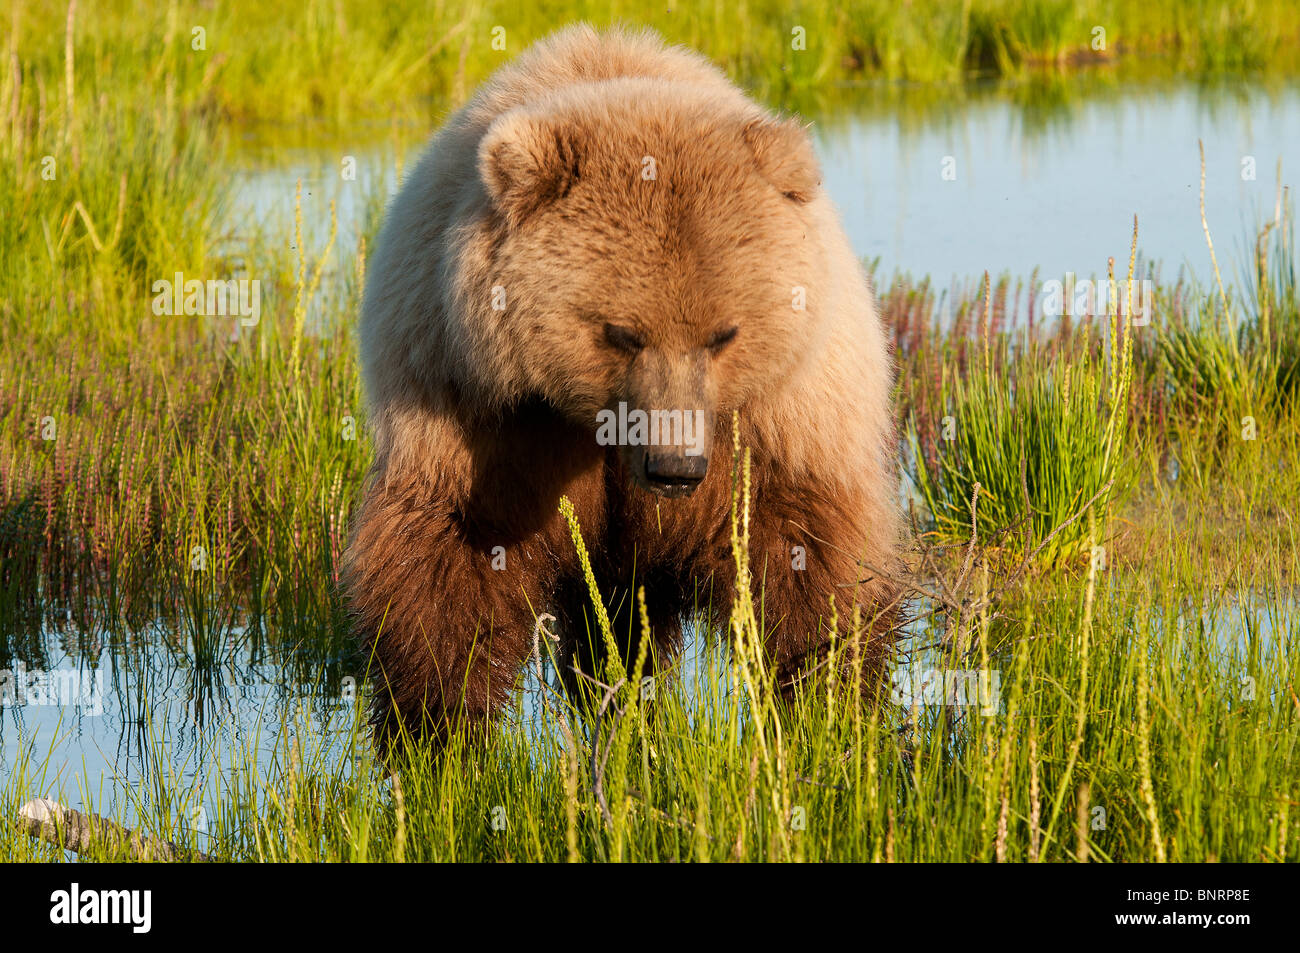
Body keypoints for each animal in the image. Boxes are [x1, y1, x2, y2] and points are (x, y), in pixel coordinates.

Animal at [344, 24, 901, 759]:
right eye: (621, 332)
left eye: (724, 334)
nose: (675, 467)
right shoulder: (474, 404)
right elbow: (454, 558)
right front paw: (438, 733)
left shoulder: (779, 420)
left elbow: (803, 553)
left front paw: (827, 706)